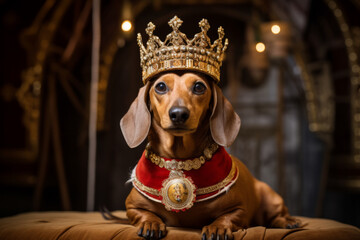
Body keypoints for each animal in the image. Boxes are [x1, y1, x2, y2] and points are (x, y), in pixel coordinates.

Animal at [119, 71, 300, 240]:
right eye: (161, 86)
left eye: (199, 87)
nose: (179, 114)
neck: (180, 160)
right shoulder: (132, 207)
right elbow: (144, 213)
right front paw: (151, 223)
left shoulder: (240, 210)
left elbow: (226, 218)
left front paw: (217, 228)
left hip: (271, 197)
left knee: (277, 216)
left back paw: (287, 221)